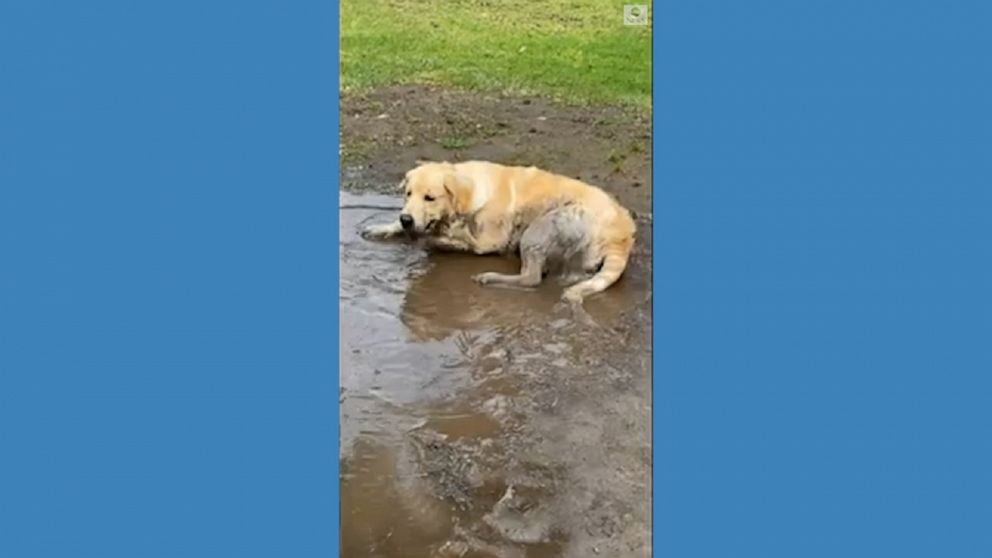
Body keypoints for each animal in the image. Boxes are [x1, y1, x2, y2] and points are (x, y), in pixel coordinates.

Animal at [362, 160, 636, 304]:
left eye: (430, 197)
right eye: (407, 194)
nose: (407, 219)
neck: (468, 196)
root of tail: (622, 235)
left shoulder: (486, 241)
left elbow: (449, 238)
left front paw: (431, 238)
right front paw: (383, 227)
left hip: (542, 226)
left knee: (531, 277)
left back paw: (491, 277)